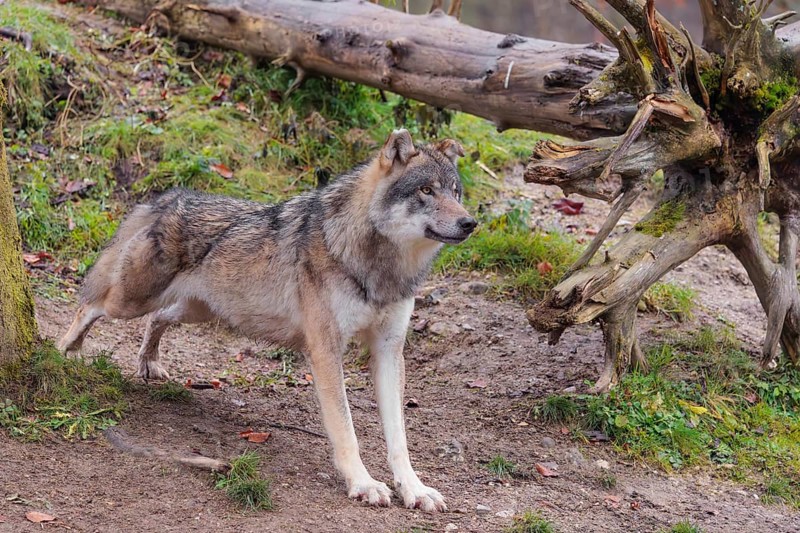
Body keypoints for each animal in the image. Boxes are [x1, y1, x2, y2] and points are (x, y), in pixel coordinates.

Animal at [58, 129, 476, 512]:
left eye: (456, 192)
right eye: (426, 190)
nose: (470, 223)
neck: (379, 265)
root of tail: (168, 198)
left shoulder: (389, 351)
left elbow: (398, 437)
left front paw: (415, 489)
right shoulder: (326, 351)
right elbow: (346, 428)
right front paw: (362, 483)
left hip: (194, 309)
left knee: (157, 320)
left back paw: (149, 362)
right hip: (131, 301)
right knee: (89, 304)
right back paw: (65, 349)